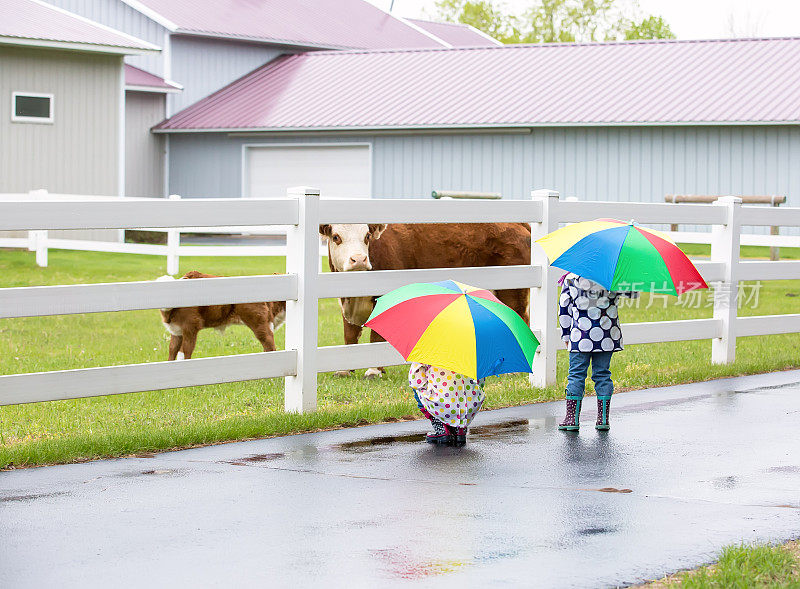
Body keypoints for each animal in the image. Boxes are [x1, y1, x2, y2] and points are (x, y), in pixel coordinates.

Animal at [158, 270, 286, 360]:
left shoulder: (191, 327)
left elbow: (185, 352)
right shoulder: (176, 330)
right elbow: (172, 351)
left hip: (258, 322)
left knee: (269, 343)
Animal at [318, 223, 532, 378]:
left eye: (367, 236)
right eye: (336, 237)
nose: (359, 259)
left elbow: (376, 337)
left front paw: (373, 371)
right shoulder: (346, 303)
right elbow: (349, 335)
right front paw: (345, 370)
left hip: (513, 293)